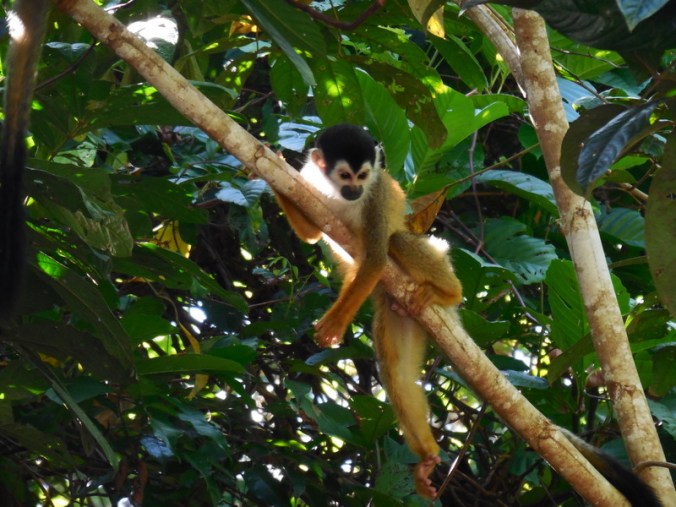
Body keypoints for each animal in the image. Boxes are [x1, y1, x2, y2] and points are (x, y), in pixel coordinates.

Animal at [273, 124, 663, 505]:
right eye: (344, 175)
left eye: (363, 175)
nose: (355, 190)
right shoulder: (309, 183)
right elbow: (311, 235)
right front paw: (273, 170)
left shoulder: (377, 194)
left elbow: (375, 259)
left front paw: (335, 322)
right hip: (396, 312)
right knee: (396, 374)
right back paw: (427, 454)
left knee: (397, 241)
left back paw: (447, 291)